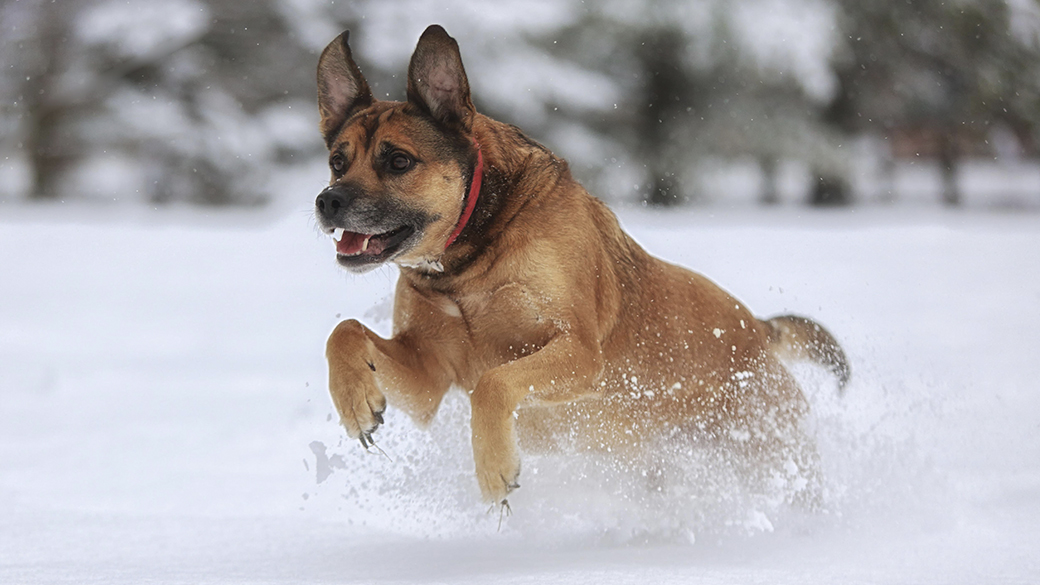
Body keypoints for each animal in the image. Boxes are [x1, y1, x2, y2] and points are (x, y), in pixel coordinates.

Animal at [312, 23, 848, 505]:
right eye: (338, 161)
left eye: (398, 161)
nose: (327, 201)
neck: (467, 261)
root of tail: (757, 329)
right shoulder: (429, 376)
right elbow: (344, 332)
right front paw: (355, 401)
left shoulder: (580, 351)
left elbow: (494, 382)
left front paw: (494, 467)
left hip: (766, 445)